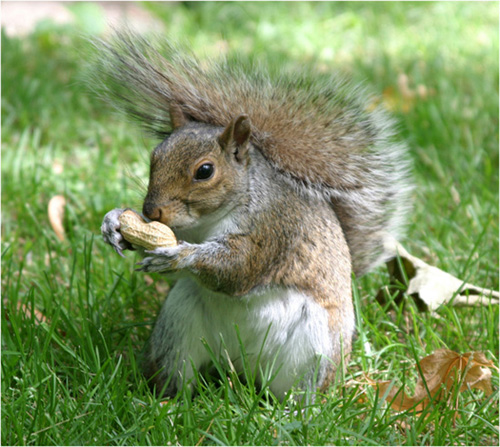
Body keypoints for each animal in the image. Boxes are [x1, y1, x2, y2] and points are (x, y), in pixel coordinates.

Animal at [94, 33, 410, 400]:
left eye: (205, 171)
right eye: (154, 157)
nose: (150, 210)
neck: (207, 221)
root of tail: (242, 367)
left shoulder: (276, 227)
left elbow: (239, 267)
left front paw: (181, 256)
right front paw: (115, 222)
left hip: (315, 349)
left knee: (300, 391)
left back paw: (292, 410)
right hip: (176, 327)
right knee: (179, 373)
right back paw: (163, 401)